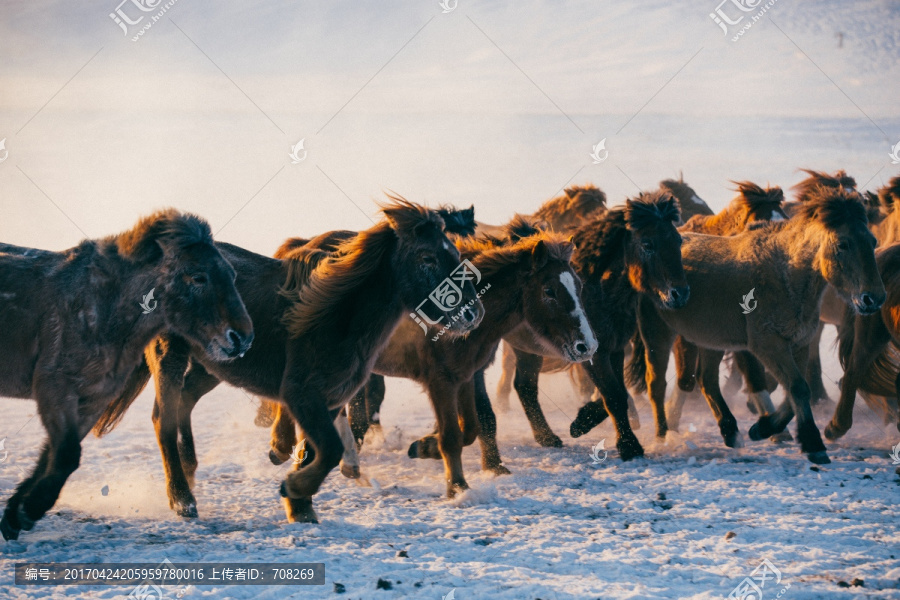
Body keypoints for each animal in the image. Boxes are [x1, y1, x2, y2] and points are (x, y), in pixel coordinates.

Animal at [0, 211, 253, 540]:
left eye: (233, 276)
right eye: (198, 277)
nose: (242, 338)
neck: (101, 307)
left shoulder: (90, 400)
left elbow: (53, 458)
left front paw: (15, 514)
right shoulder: (55, 390)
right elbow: (65, 455)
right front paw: (26, 512)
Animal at [94, 199, 482, 524]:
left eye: (454, 252)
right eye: (428, 258)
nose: (472, 314)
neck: (336, 314)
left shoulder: (329, 398)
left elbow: (316, 450)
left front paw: (300, 505)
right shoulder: (303, 396)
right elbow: (330, 449)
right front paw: (294, 490)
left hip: (211, 366)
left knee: (183, 404)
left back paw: (190, 474)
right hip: (170, 355)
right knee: (164, 418)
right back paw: (182, 500)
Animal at [636, 188, 884, 464]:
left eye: (872, 241)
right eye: (843, 244)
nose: (874, 298)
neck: (786, 274)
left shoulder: (799, 344)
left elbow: (795, 390)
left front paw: (762, 428)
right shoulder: (768, 345)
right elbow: (797, 388)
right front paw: (813, 443)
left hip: (710, 339)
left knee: (706, 380)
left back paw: (731, 433)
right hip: (658, 334)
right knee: (657, 384)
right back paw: (662, 436)